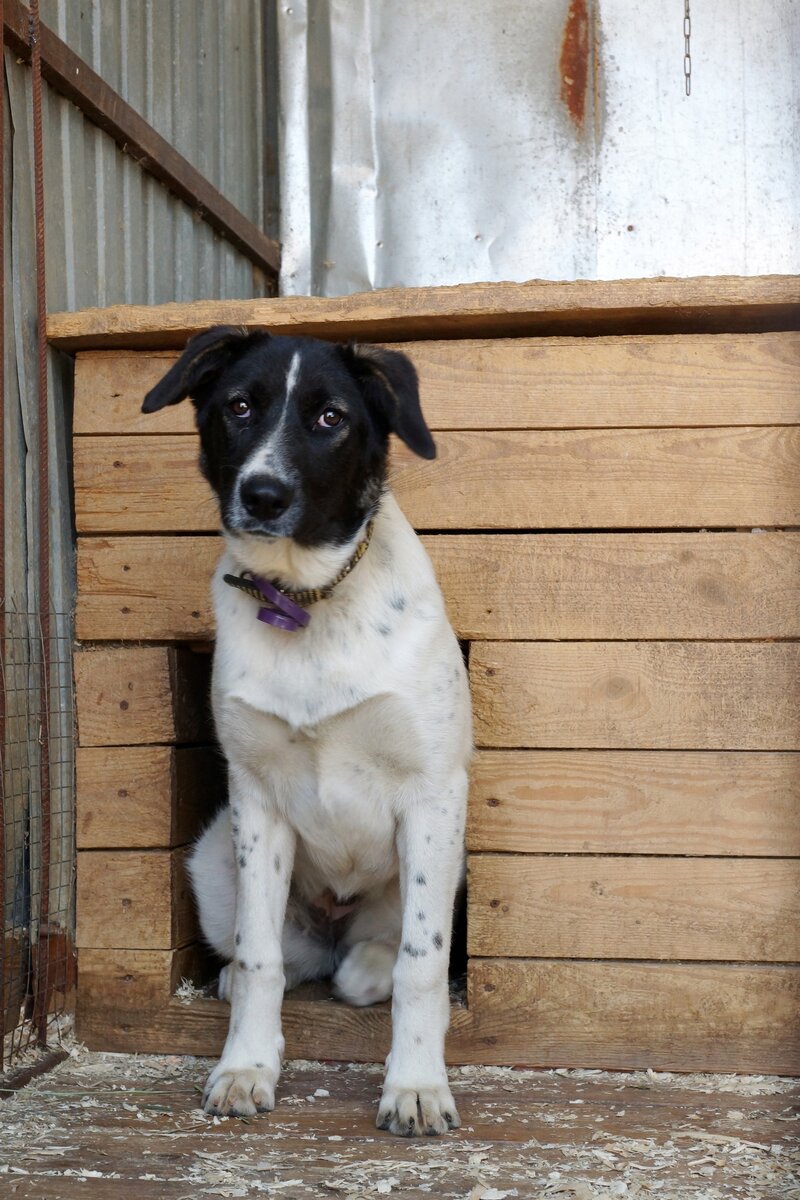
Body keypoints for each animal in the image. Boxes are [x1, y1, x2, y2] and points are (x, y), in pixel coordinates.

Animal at [141, 328, 472, 1132]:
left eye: (330, 418)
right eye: (238, 406)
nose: (264, 494)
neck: (309, 598)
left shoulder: (433, 792)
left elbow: (422, 963)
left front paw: (416, 1085)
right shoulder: (257, 798)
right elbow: (259, 956)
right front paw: (246, 1069)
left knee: (374, 957)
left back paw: (368, 966)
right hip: (213, 859)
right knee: (280, 957)